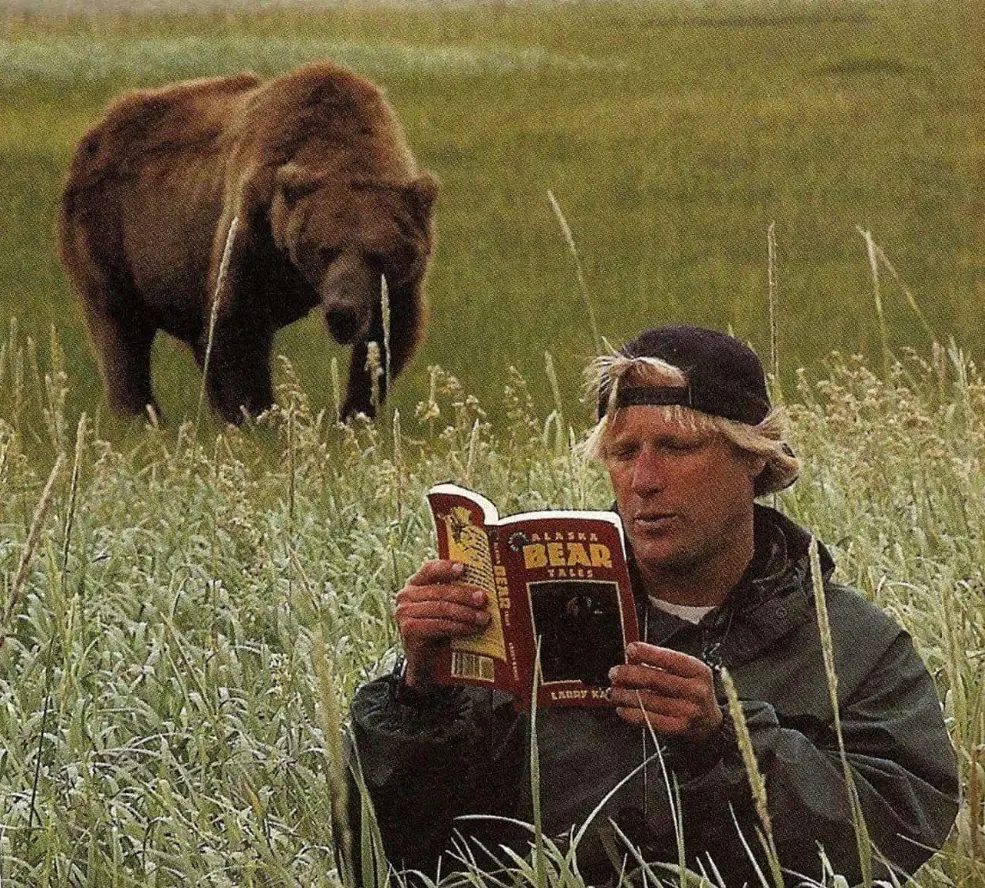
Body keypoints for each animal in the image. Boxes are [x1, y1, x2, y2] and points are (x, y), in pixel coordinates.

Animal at [58, 61, 437, 424]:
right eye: (324, 250)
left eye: (378, 255)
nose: (342, 312)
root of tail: (95, 130)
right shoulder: (255, 225)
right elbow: (239, 324)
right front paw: (261, 416)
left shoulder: (400, 276)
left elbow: (389, 332)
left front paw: (354, 414)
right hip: (110, 231)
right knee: (120, 331)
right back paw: (142, 418)